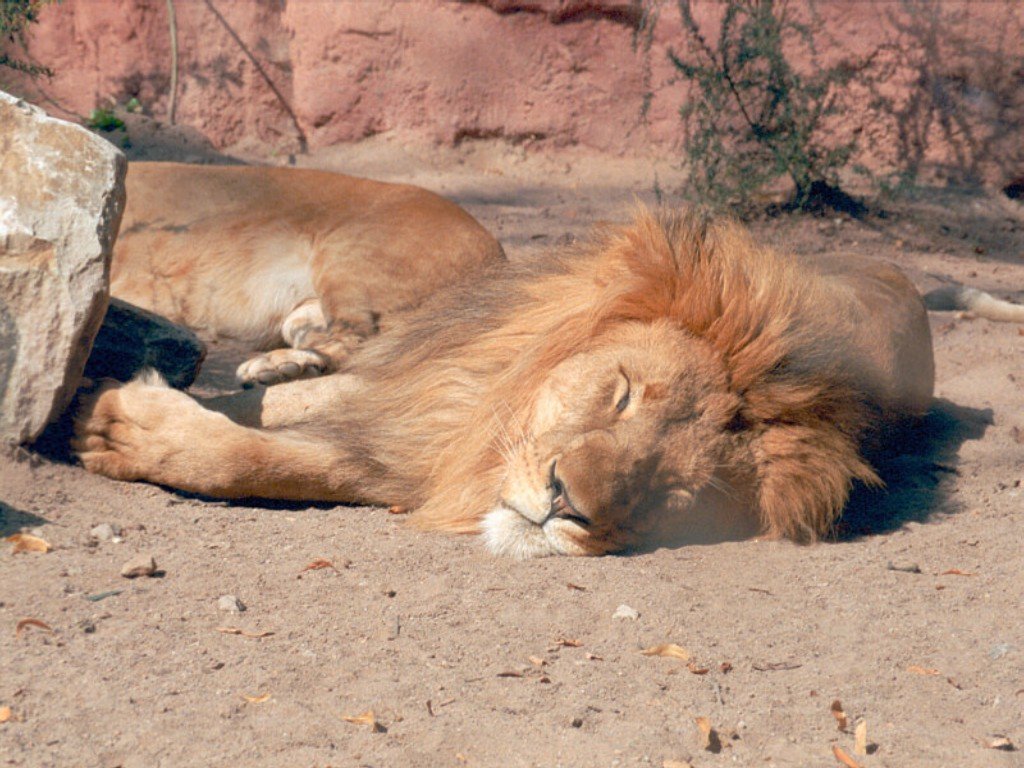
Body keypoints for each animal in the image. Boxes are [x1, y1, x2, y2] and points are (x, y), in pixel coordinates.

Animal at [75, 209, 936, 557]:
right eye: (622, 393)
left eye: (676, 496)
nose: (566, 504)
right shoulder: (436, 392)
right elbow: (291, 408)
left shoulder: (417, 454)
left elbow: (269, 459)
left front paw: (124, 426)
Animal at [110, 162, 505, 385]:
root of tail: (497, 252)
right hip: (303, 314)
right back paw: (291, 366)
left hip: (349, 252)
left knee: (363, 341)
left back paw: (275, 366)